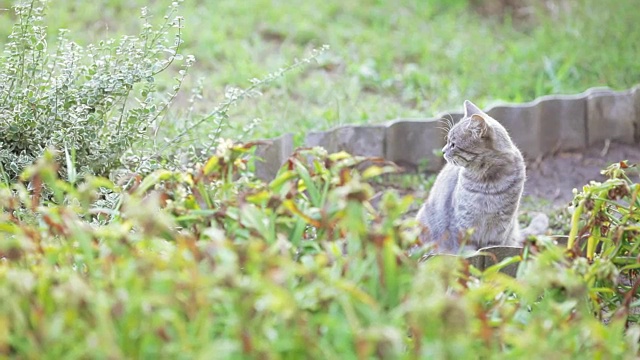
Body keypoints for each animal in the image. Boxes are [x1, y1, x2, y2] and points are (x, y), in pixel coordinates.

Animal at [416, 100, 536, 255]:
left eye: (453, 144)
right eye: (447, 141)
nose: (443, 151)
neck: (488, 183)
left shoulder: (500, 228)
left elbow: (494, 249)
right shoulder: (464, 225)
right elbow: (468, 252)